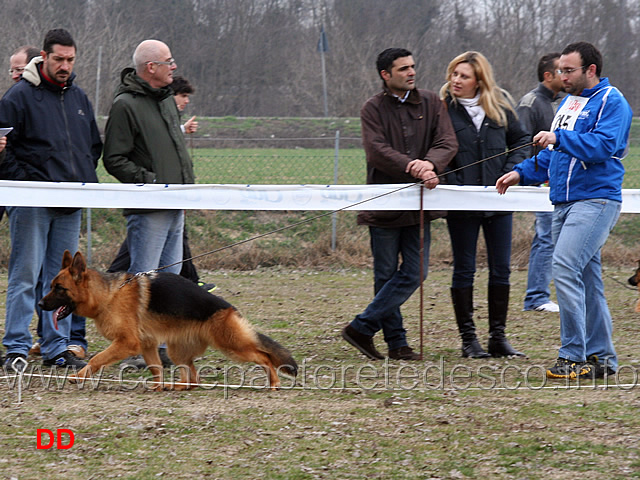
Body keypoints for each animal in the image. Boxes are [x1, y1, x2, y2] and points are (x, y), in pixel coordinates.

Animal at [38, 251, 298, 390]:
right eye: (51, 286)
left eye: (59, 289)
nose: (39, 305)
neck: (109, 294)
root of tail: (228, 308)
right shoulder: (147, 344)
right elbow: (156, 367)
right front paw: (158, 386)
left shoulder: (127, 343)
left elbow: (98, 359)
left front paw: (78, 376)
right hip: (177, 351)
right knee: (193, 379)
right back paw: (176, 386)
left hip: (231, 344)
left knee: (264, 357)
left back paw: (274, 382)